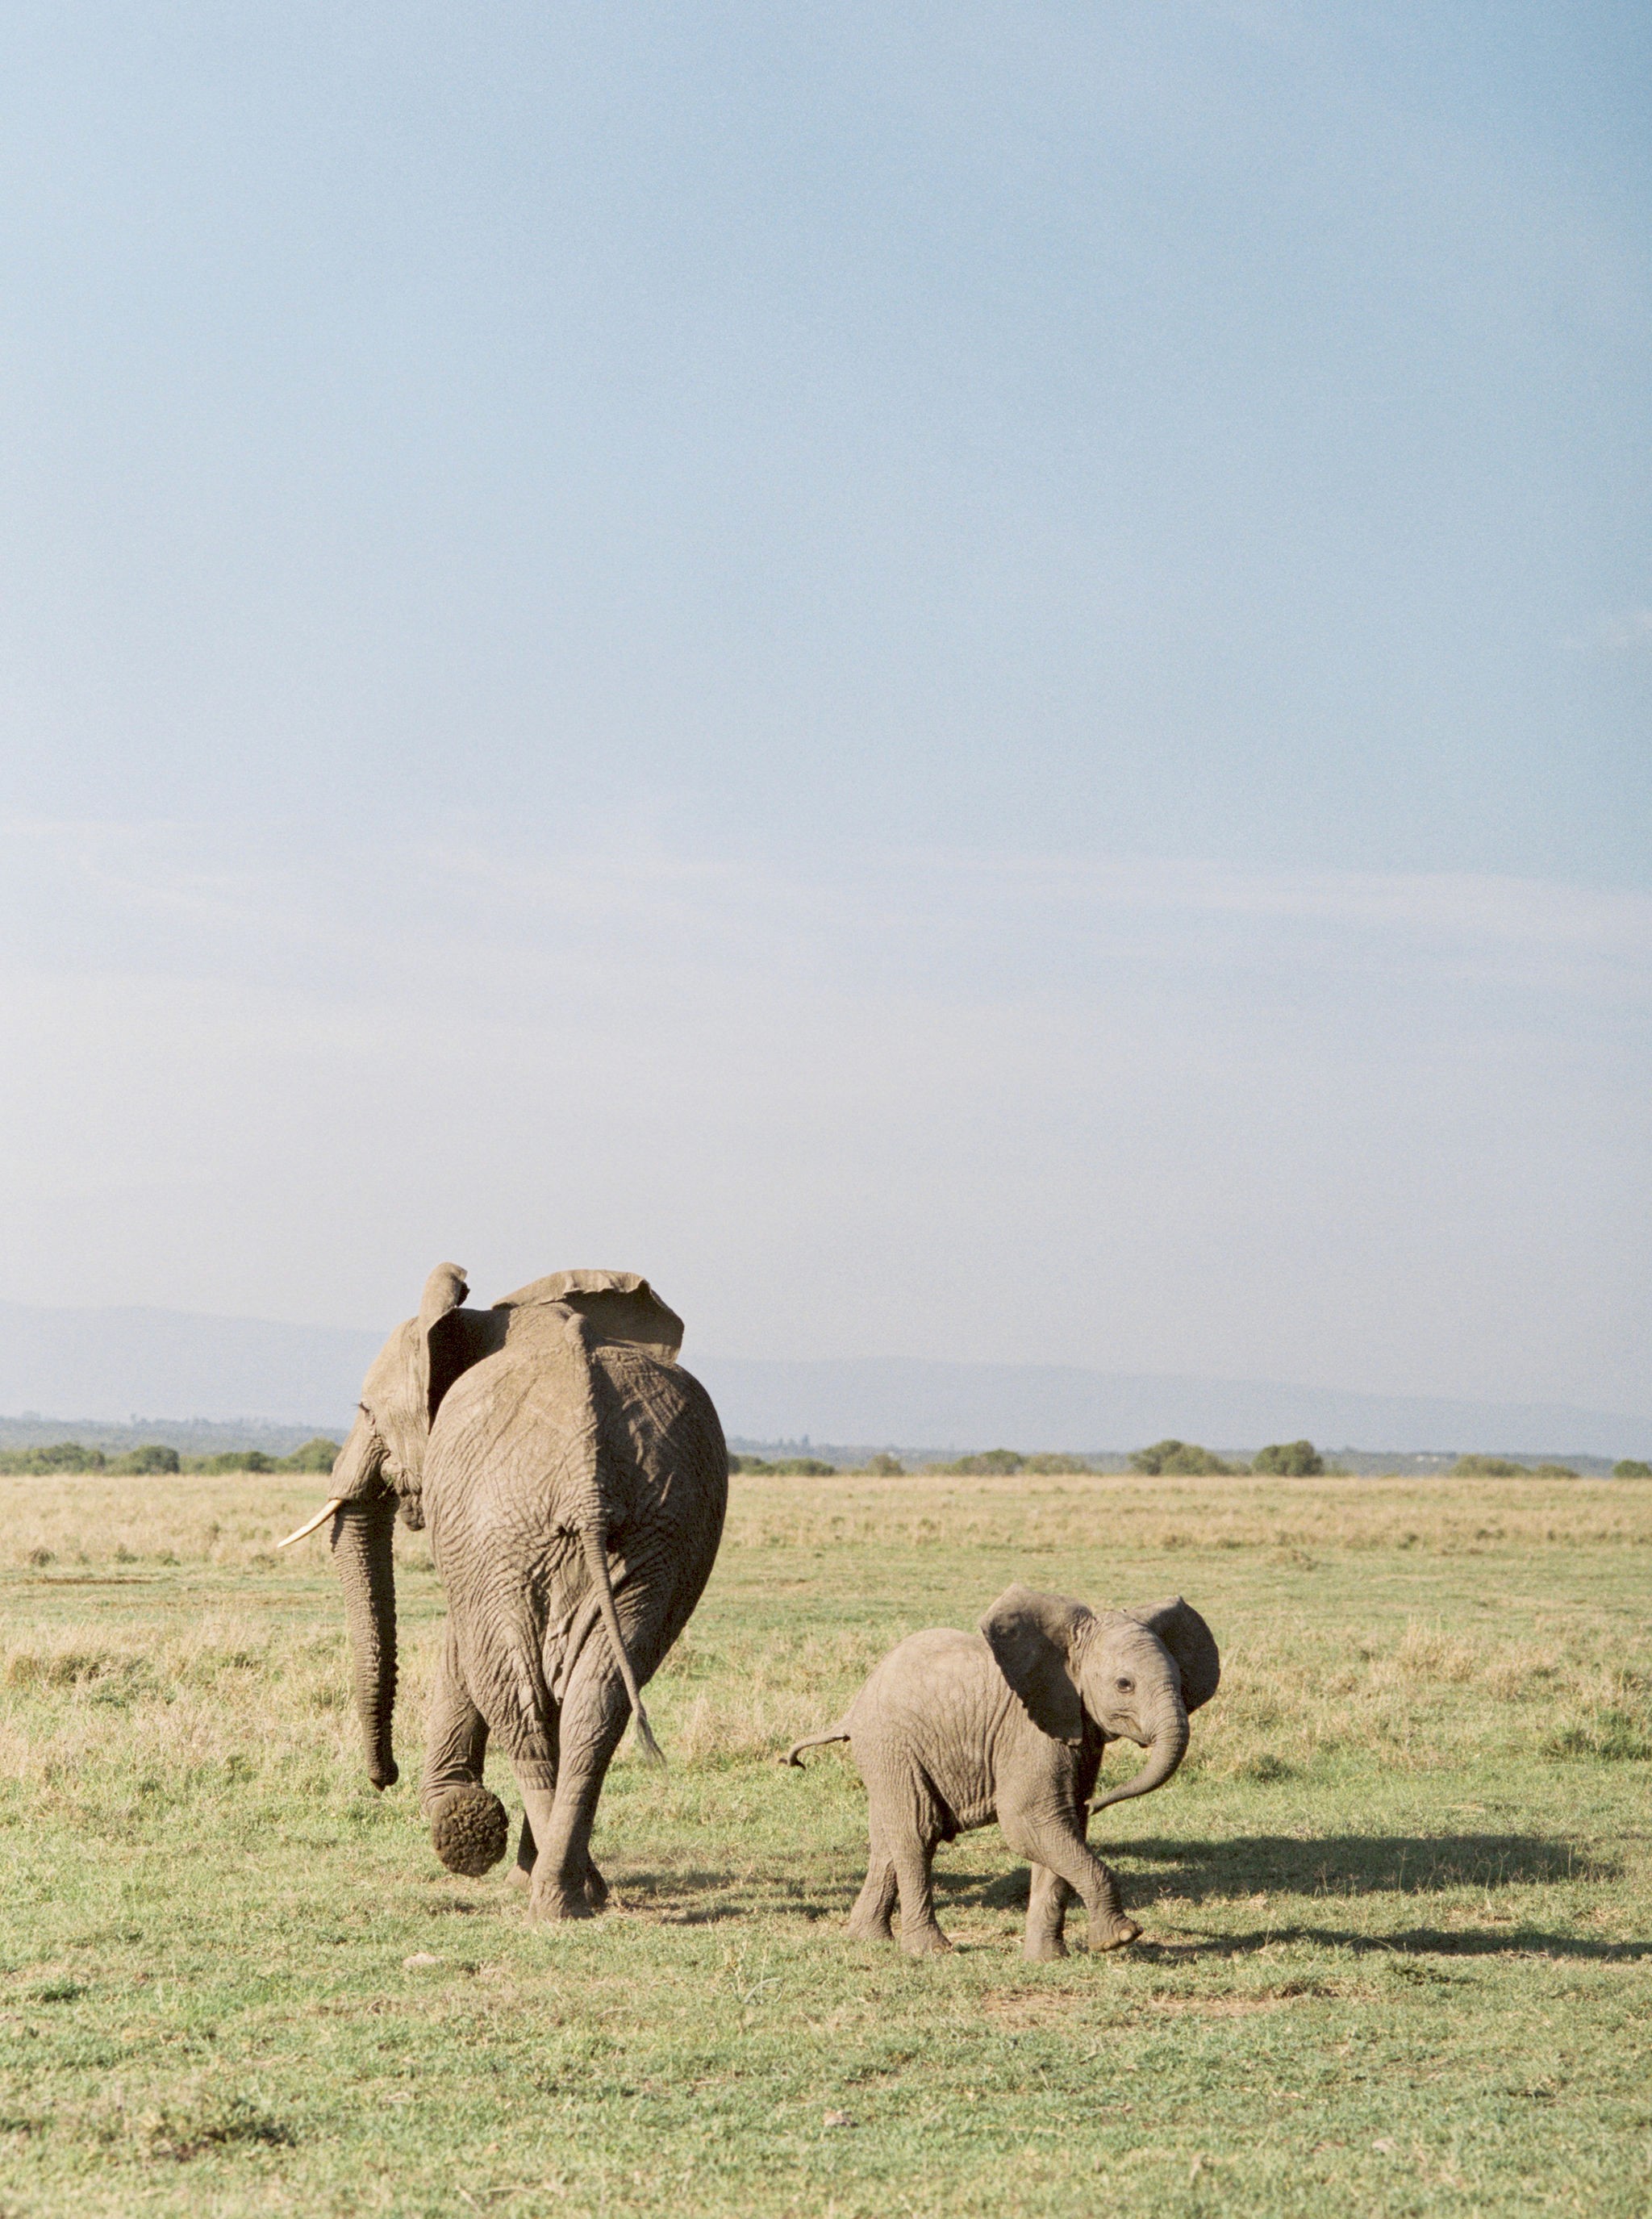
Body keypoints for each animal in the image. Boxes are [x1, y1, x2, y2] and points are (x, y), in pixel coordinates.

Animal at [279, 1264, 728, 1920]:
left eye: (368, 1413)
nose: (382, 1778)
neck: (485, 1318)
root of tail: (587, 1474)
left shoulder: (468, 1534)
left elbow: (459, 1643)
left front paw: (457, 1814)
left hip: (508, 1519)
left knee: (516, 1694)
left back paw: (545, 1895)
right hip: (658, 1529)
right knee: (597, 1700)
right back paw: (569, 1891)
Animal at [783, 1584, 1219, 1960]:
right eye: (1124, 1685)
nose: (1098, 1803)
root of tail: (853, 1707)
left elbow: (1061, 1829)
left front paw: (1048, 1960)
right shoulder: (1028, 1730)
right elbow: (1030, 1823)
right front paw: (1120, 1938)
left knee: (887, 1835)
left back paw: (869, 1939)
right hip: (890, 1744)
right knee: (917, 1830)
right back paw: (930, 1950)